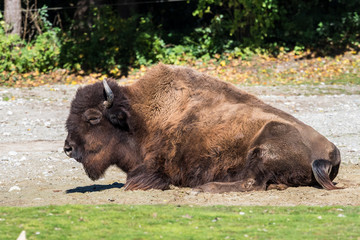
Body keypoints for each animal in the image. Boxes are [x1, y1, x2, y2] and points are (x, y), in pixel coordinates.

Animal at [63, 63, 342, 193]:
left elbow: (136, 180)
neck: (139, 118)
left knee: (251, 182)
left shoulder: (156, 166)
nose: (68, 148)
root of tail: (332, 151)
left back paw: (204, 187)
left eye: (93, 117)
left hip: (265, 147)